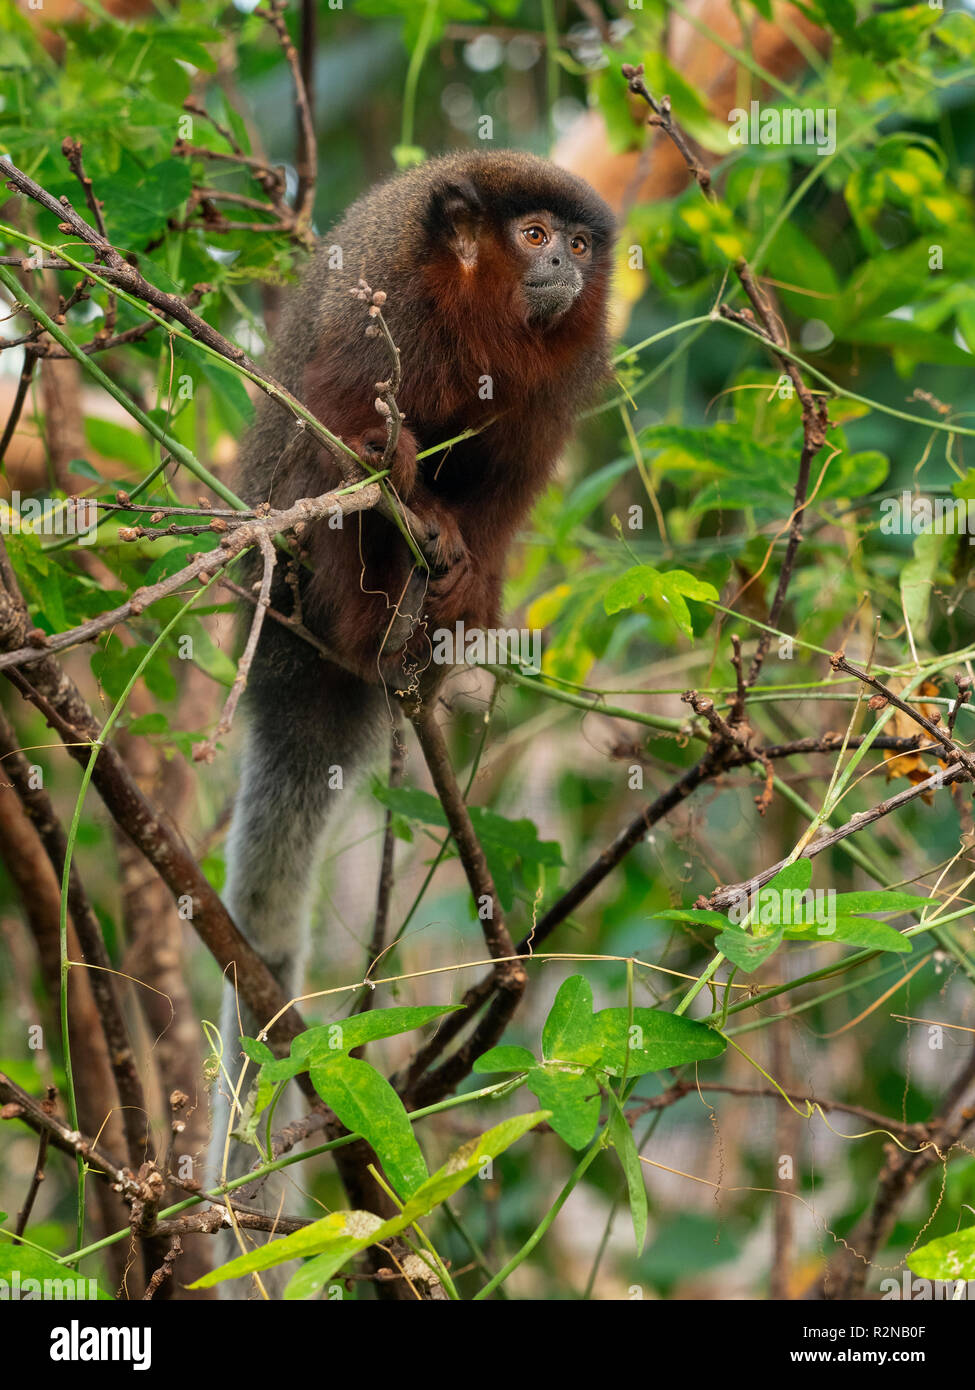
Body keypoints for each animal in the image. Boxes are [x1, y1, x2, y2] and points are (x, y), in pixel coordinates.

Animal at [209, 151, 615, 1250]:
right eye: (531, 234)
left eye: (580, 243)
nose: (564, 264)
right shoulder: (376, 303)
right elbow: (338, 422)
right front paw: (408, 496)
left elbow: (505, 481)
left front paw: (466, 561)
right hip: (278, 590)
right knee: (323, 494)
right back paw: (378, 604)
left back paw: (438, 625)